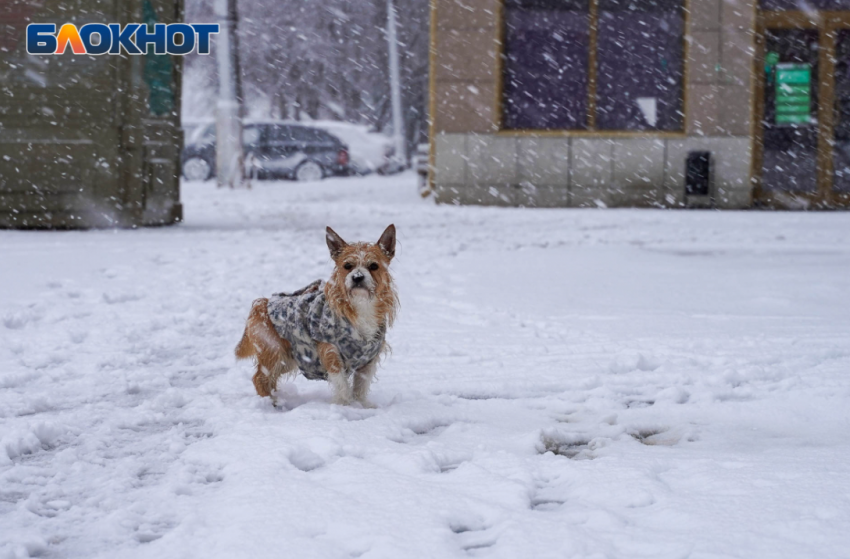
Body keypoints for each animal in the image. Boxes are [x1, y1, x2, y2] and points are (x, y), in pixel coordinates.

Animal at [235, 224, 398, 406]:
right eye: (348, 265)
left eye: (374, 266)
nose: (357, 277)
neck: (361, 305)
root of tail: (261, 304)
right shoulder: (330, 351)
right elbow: (341, 382)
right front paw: (344, 404)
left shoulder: (369, 359)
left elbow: (361, 385)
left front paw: (361, 405)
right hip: (273, 350)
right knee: (259, 378)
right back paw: (271, 403)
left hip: (288, 358)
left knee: (270, 379)